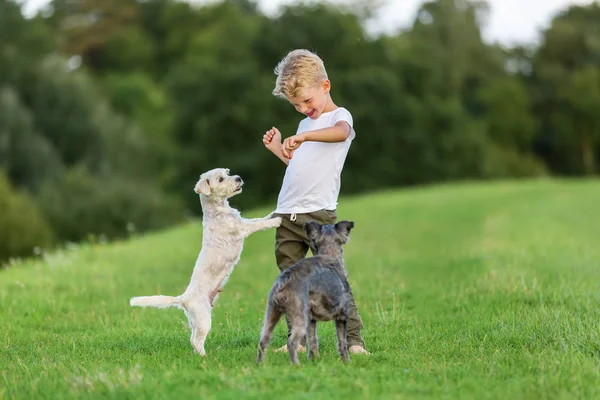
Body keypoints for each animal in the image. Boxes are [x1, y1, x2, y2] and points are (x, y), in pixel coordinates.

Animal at [128, 167, 282, 354]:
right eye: (221, 179)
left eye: (227, 172)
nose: (238, 178)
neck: (218, 210)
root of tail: (183, 298)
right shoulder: (242, 228)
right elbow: (259, 224)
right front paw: (277, 220)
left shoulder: (243, 221)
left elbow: (260, 218)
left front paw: (274, 212)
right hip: (203, 319)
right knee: (197, 340)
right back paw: (204, 356)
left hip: (195, 320)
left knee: (193, 338)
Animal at [255, 220, 354, 364]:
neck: (329, 255)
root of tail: (283, 283)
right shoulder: (342, 315)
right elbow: (342, 342)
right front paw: (346, 361)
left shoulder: (312, 320)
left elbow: (313, 341)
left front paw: (314, 360)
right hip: (299, 316)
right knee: (291, 343)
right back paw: (296, 365)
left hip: (272, 314)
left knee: (263, 341)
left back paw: (260, 365)